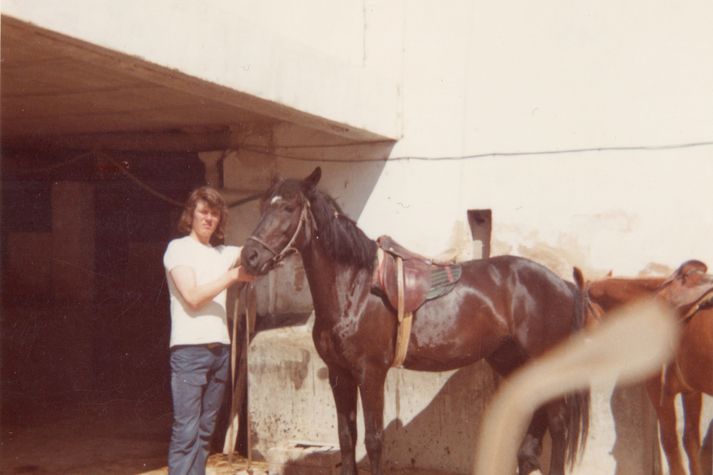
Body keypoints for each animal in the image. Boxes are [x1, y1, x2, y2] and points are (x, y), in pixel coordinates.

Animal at [241, 169, 588, 474]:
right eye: (263, 206)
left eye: (288, 207)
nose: (249, 257)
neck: (355, 289)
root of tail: (563, 284)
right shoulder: (340, 375)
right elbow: (346, 438)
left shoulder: (370, 373)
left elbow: (374, 440)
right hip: (513, 361)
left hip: (543, 359)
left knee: (559, 424)